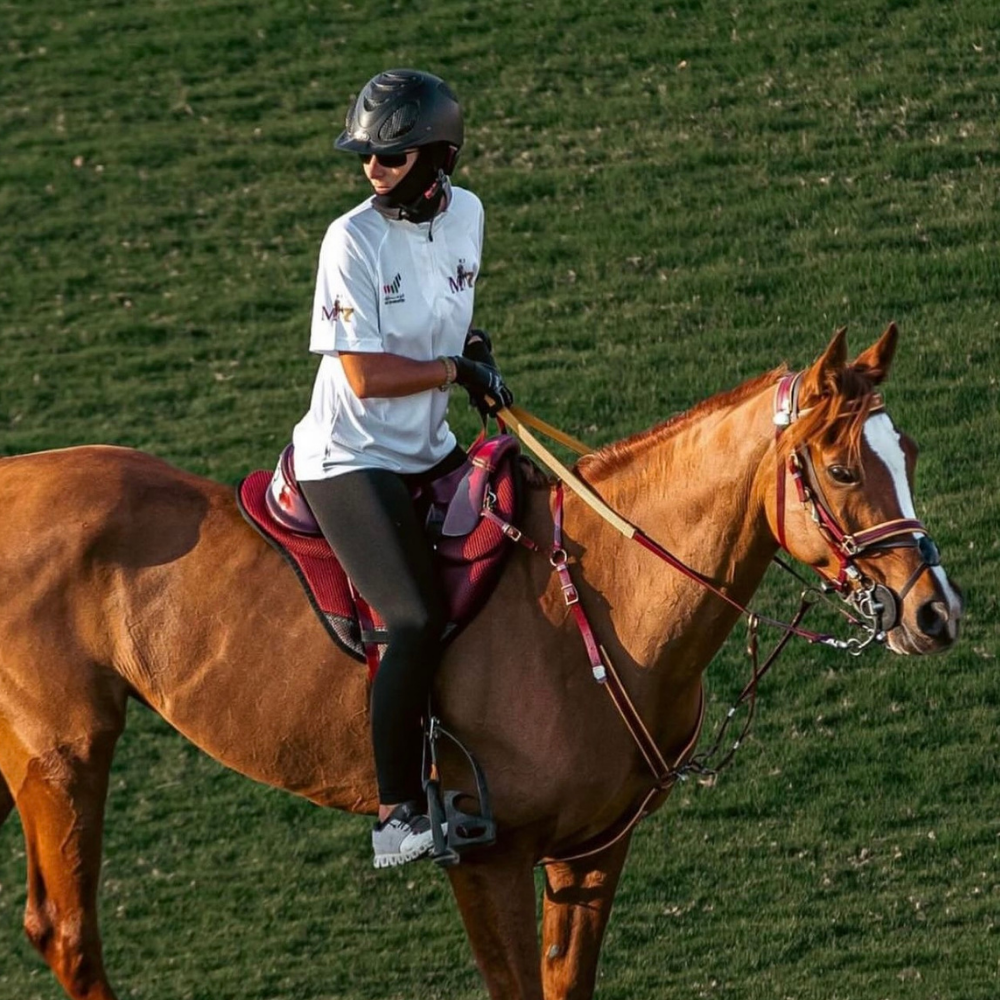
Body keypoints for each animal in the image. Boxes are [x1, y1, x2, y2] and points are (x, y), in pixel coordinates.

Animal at [0, 324, 963, 1000]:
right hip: (63, 754)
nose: (936, 611)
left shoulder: (592, 853)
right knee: (66, 932)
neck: (597, 606)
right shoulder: (486, 859)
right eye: (841, 469)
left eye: (908, 453)